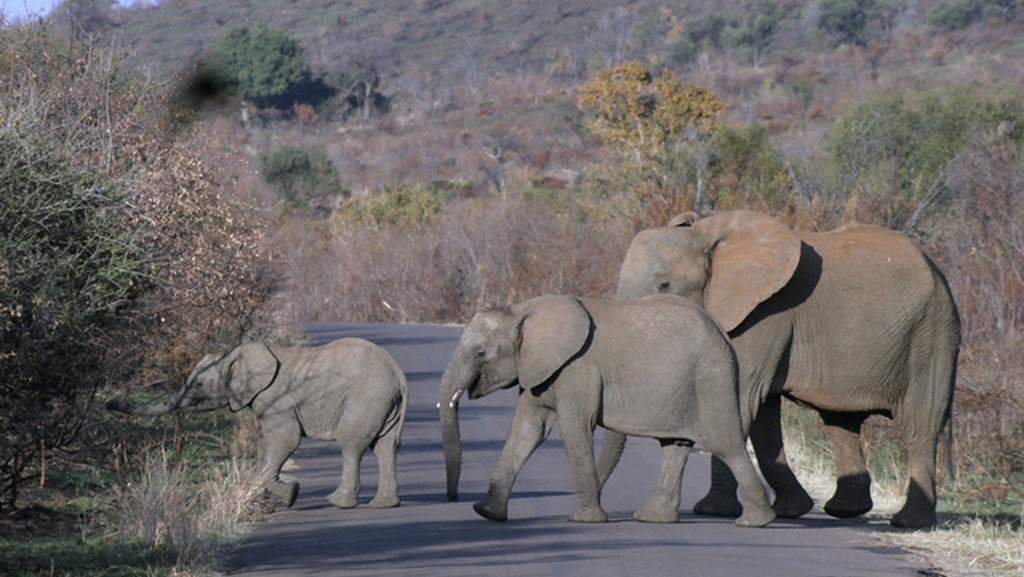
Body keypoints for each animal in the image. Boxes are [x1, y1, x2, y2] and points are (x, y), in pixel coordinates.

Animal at [104, 338, 407, 510]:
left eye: (199, 383)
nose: (109, 403)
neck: (233, 356)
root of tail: (398, 372)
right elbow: (266, 445)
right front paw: (265, 505)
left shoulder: (276, 398)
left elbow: (285, 440)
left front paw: (291, 495)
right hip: (384, 403)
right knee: (385, 447)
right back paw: (384, 505)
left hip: (366, 398)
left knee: (351, 444)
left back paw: (338, 503)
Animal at [440, 293, 774, 528]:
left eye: (481, 353)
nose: (453, 498)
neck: (521, 311)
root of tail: (722, 332)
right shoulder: (539, 370)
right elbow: (527, 430)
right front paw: (486, 513)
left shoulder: (578, 369)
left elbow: (574, 429)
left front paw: (584, 520)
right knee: (675, 447)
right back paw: (652, 518)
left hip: (711, 378)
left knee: (725, 443)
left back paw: (755, 522)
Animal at [606, 210, 958, 528]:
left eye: (664, 285)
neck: (703, 234)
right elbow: (761, 418)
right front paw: (789, 510)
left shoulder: (765, 313)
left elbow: (737, 401)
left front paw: (712, 511)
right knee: (841, 422)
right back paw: (845, 511)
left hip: (930, 336)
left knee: (919, 426)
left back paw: (909, 523)